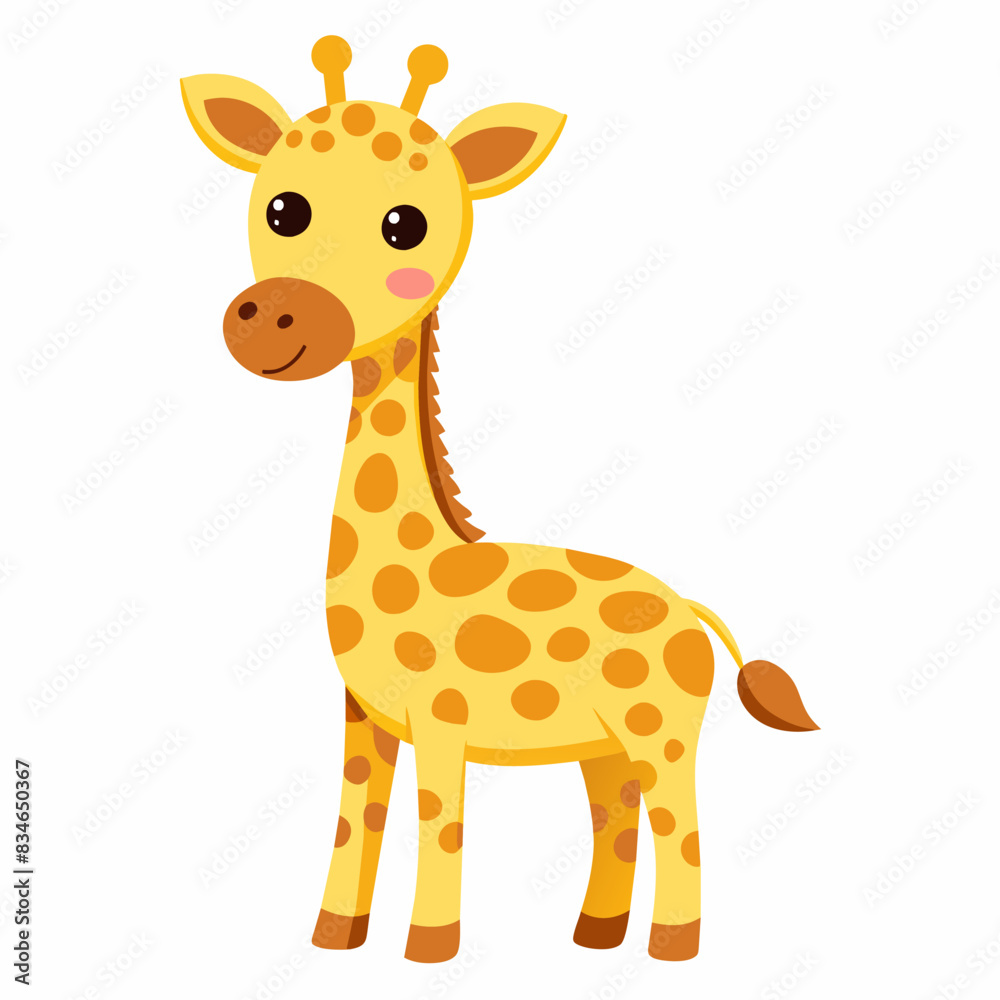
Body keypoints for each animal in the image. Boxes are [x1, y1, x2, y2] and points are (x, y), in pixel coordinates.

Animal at [181, 36, 819, 965]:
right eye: (284, 208)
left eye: (404, 224)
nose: (273, 317)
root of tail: (692, 609)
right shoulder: (363, 717)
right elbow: (355, 820)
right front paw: (335, 940)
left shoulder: (442, 721)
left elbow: (438, 822)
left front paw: (428, 949)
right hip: (604, 743)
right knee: (615, 815)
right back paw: (594, 938)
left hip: (663, 733)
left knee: (680, 820)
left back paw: (671, 947)